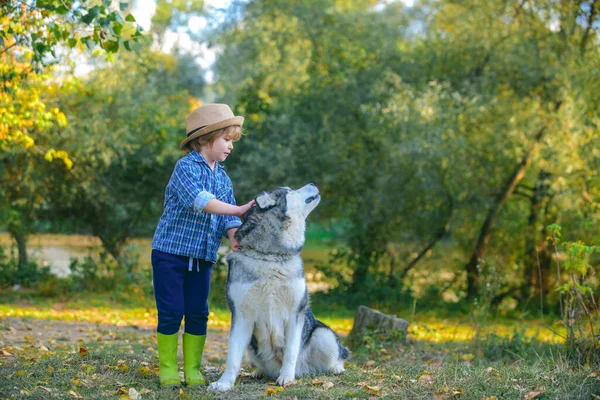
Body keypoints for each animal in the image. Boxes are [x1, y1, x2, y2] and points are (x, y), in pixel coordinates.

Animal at [210, 186, 352, 392]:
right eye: (290, 191)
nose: (312, 184)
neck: (270, 256)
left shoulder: (295, 313)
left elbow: (291, 351)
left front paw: (286, 377)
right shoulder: (241, 315)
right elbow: (233, 357)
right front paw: (224, 383)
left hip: (323, 334)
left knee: (338, 355)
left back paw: (335, 368)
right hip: (252, 347)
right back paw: (259, 371)